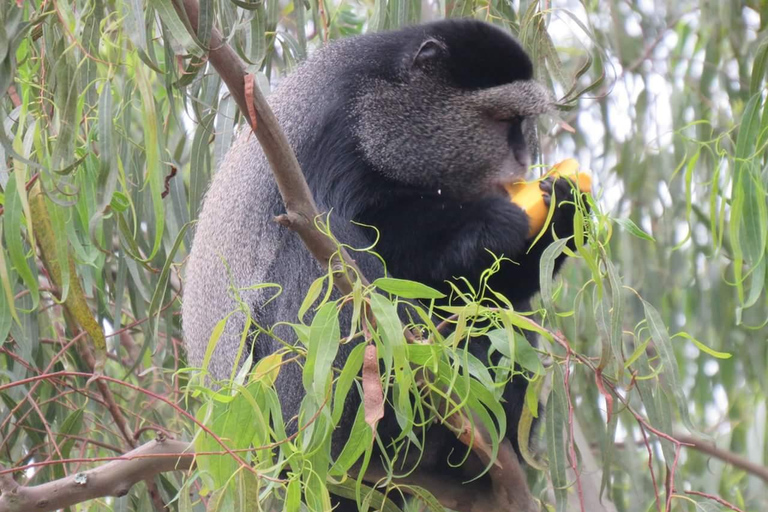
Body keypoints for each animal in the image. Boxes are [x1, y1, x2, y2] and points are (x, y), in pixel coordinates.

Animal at [183, 18, 580, 510]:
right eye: (505, 121)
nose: (524, 159)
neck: (381, 93)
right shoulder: (337, 133)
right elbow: (356, 227)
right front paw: (491, 221)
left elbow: (478, 287)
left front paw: (563, 213)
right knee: (324, 260)